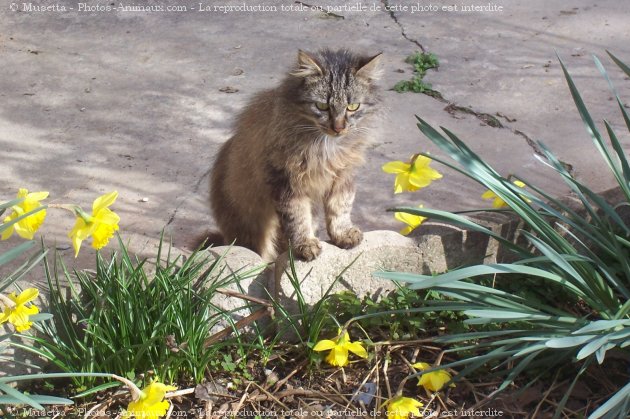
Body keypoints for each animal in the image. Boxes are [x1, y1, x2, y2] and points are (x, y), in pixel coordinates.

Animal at [210, 47, 382, 260]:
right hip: (249, 230)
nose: (339, 128)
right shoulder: (286, 182)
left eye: (352, 107)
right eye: (322, 106)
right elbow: (298, 219)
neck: (327, 147)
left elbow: (340, 208)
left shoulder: (343, 176)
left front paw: (343, 234)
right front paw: (305, 245)